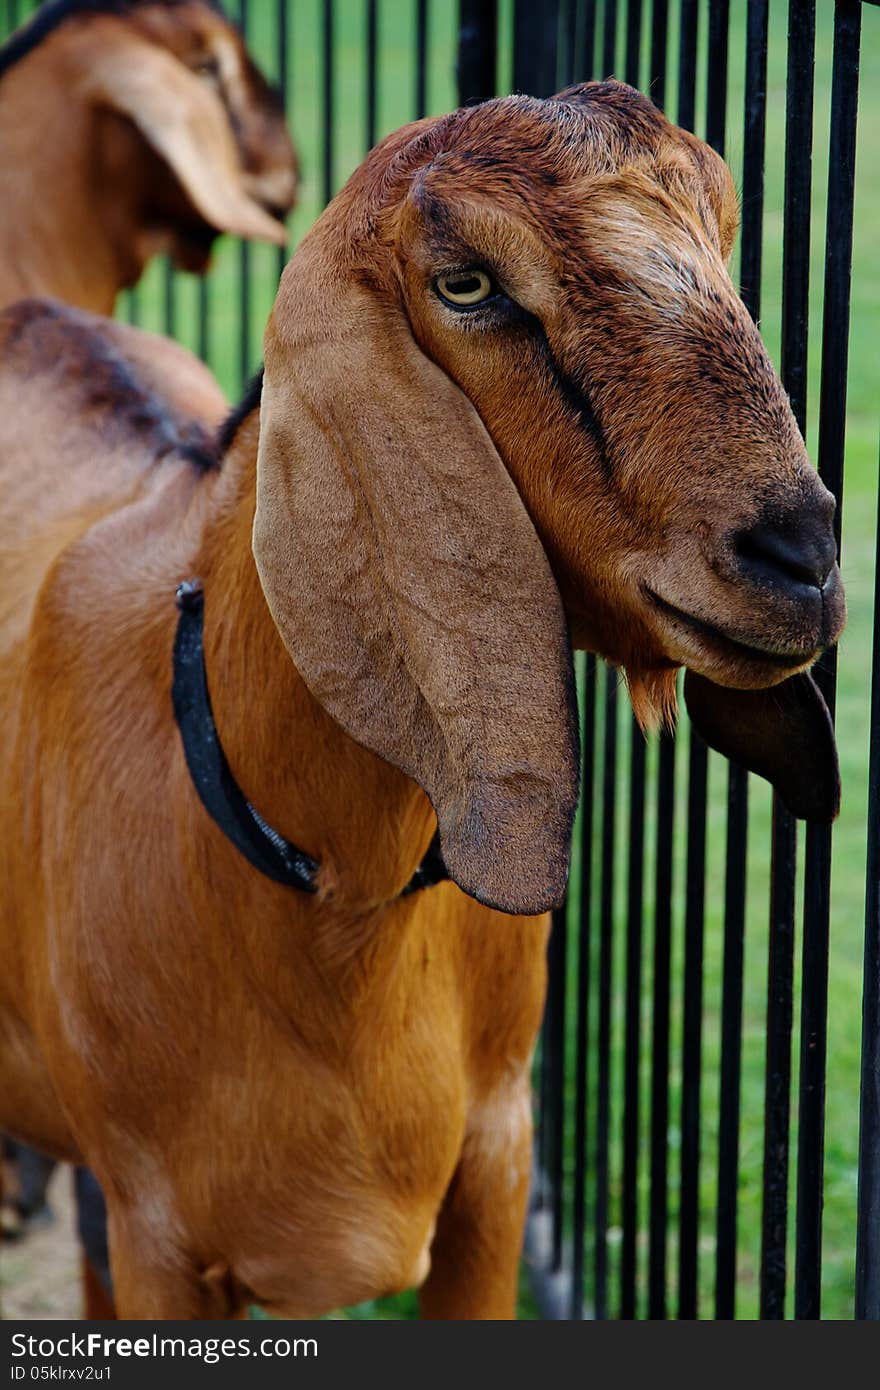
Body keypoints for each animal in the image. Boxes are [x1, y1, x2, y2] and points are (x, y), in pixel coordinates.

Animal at [0, 81, 839, 1317]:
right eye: (467, 284)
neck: (339, 906)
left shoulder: (495, 1166)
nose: (802, 556)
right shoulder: (160, 1229)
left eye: (722, 233)